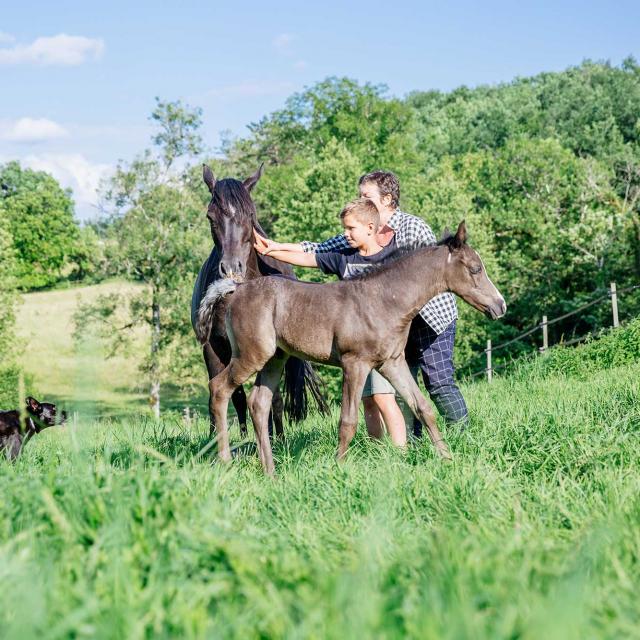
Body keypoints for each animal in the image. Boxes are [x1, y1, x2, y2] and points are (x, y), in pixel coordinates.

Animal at [192, 162, 328, 438]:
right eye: (211, 217)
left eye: (251, 215)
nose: (231, 267)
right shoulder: (213, 346)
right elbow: (229, 395)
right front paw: (224, 438)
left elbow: (270, 396)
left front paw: (276, 439)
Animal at [200, 221, 504, 476]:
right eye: (475, 269)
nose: (500, 306)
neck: (383, 300)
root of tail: (236, 289)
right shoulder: (354, 363)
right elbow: (348, 421)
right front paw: (338, 468)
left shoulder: (392, 362)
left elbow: (423, 407)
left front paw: (448, 459)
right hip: (251, 355)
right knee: (219, 389)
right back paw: (225, 462)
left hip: (275, 358)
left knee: (258, 404)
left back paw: (270, 471)